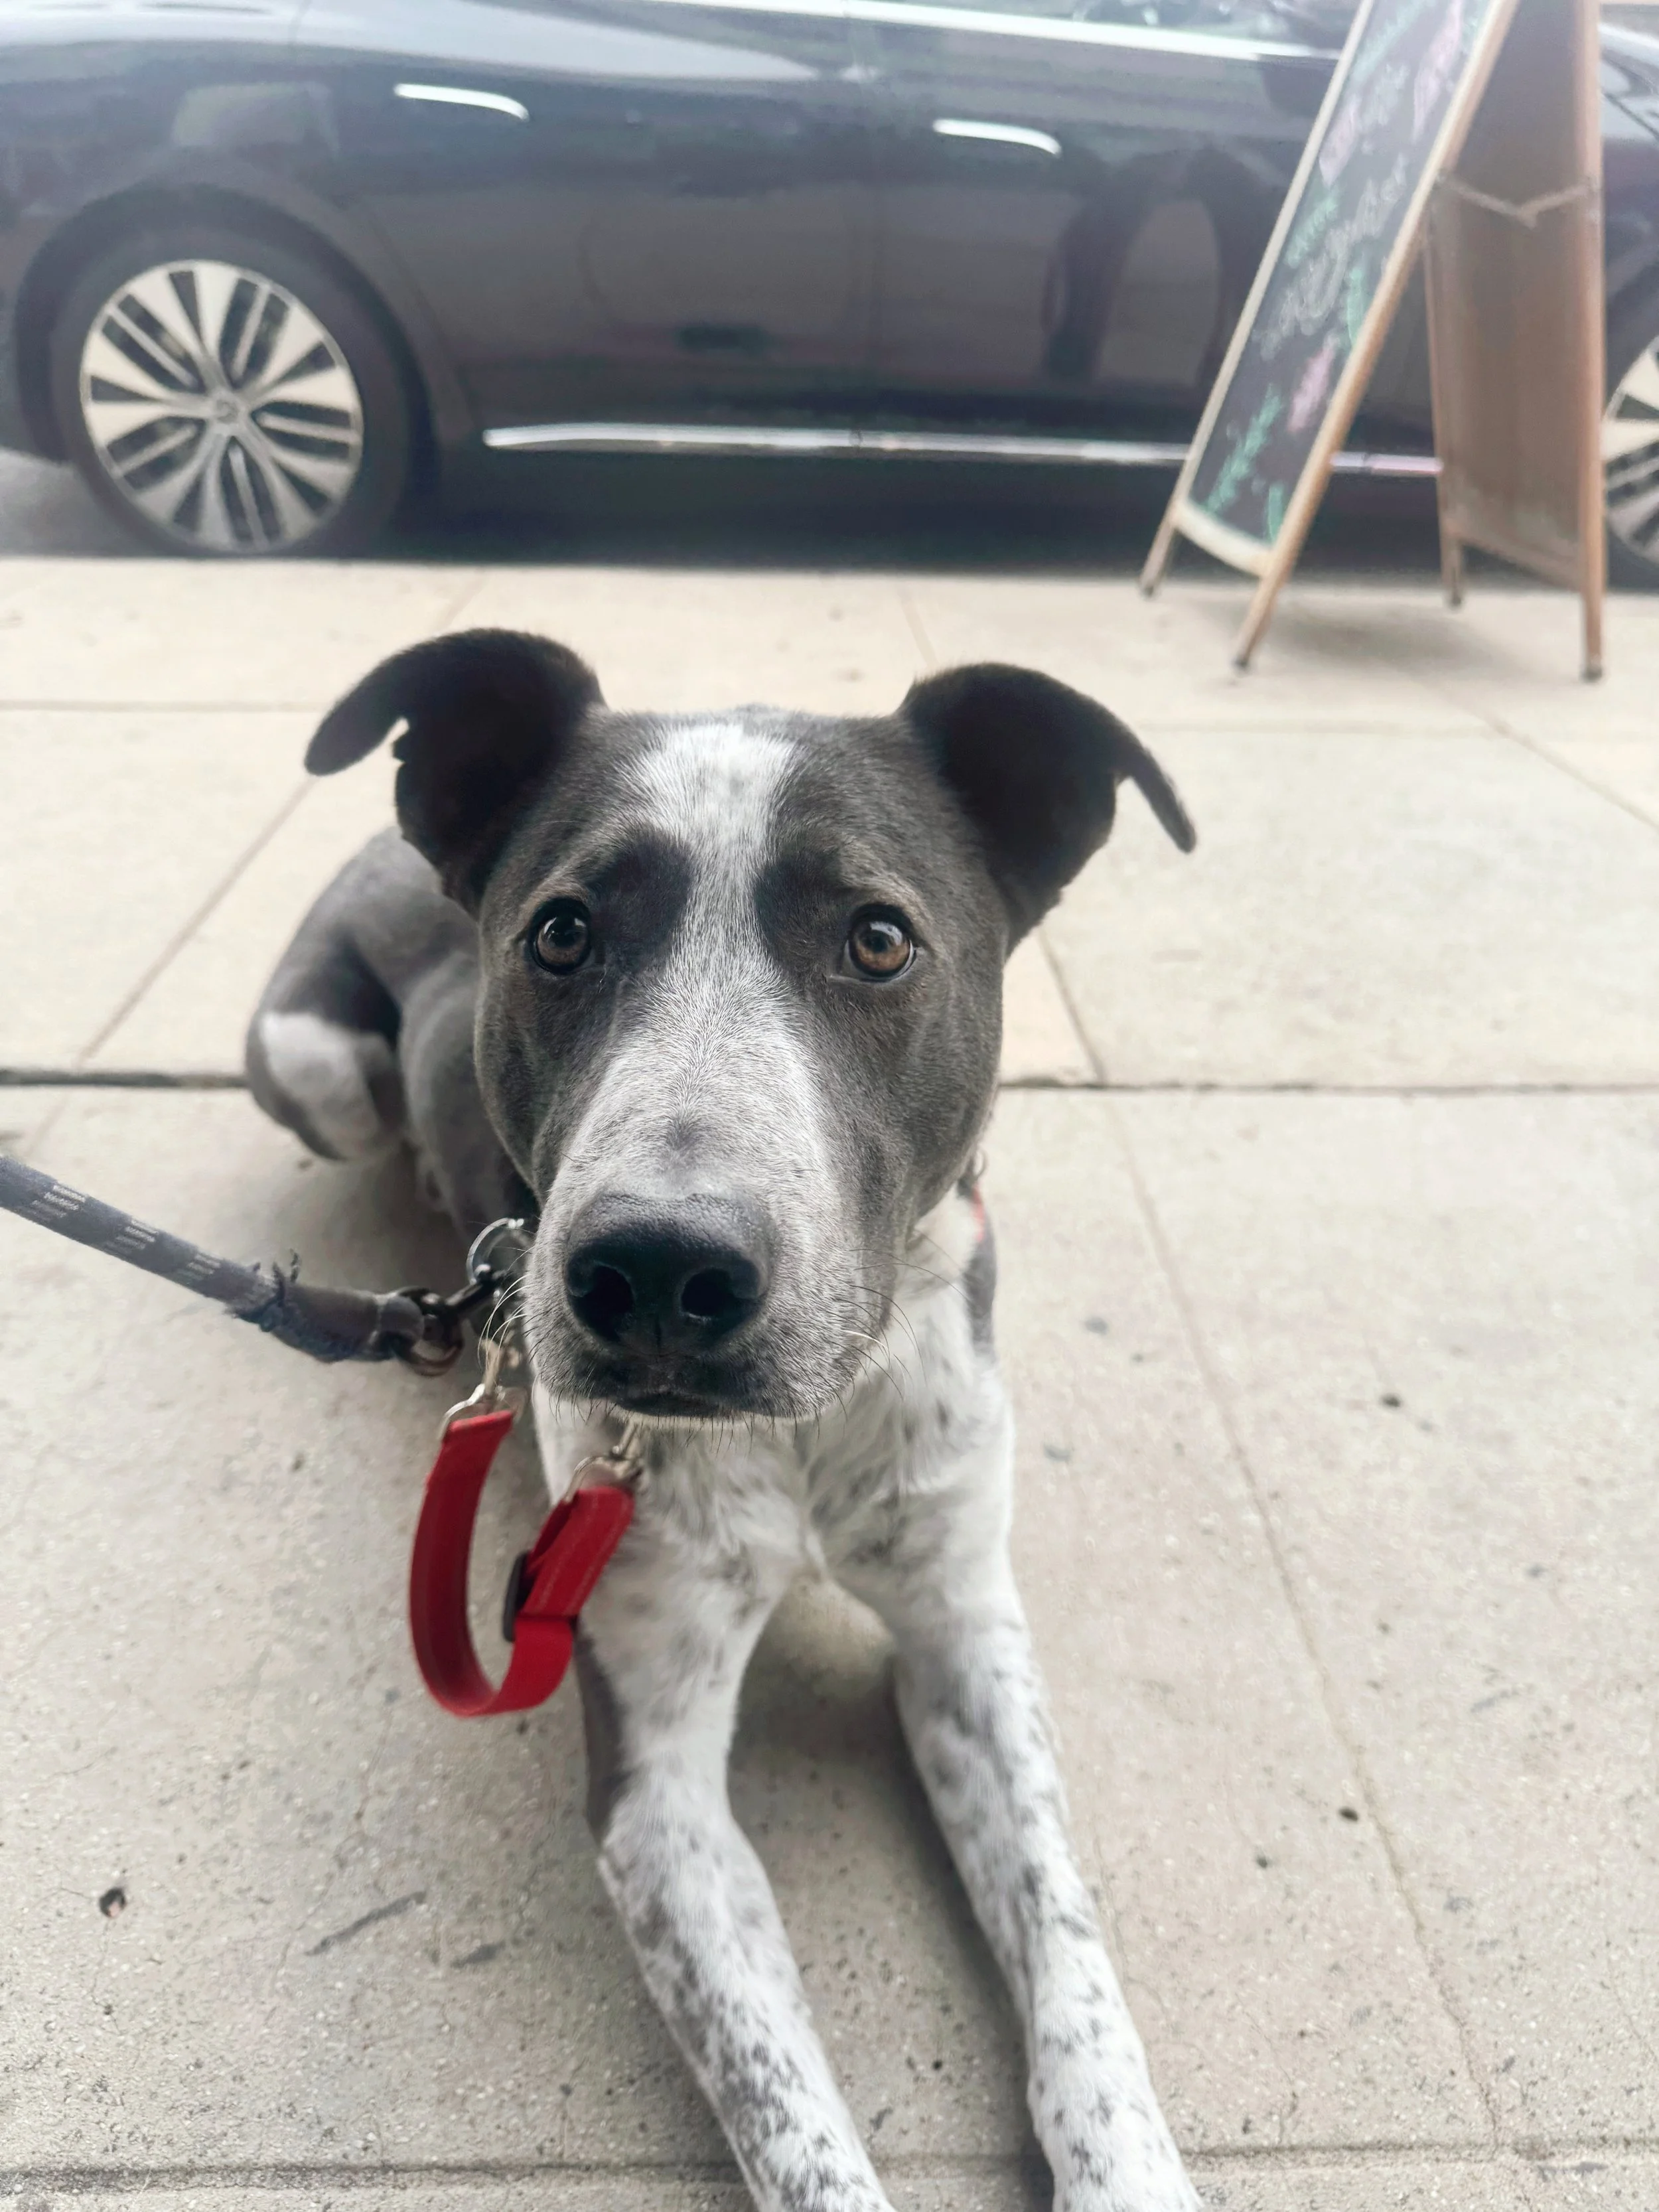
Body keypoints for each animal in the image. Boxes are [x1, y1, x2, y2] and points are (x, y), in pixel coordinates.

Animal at [248, 629, 1199, 2212]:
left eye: (877, 937)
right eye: (562, 933)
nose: (653, 1269)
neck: (808, 1425)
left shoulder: (966, 1631)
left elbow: (1072, 1952)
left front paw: (1129, 2167)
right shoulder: (657, 1792)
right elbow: (791, 2117)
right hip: (313, 1058)